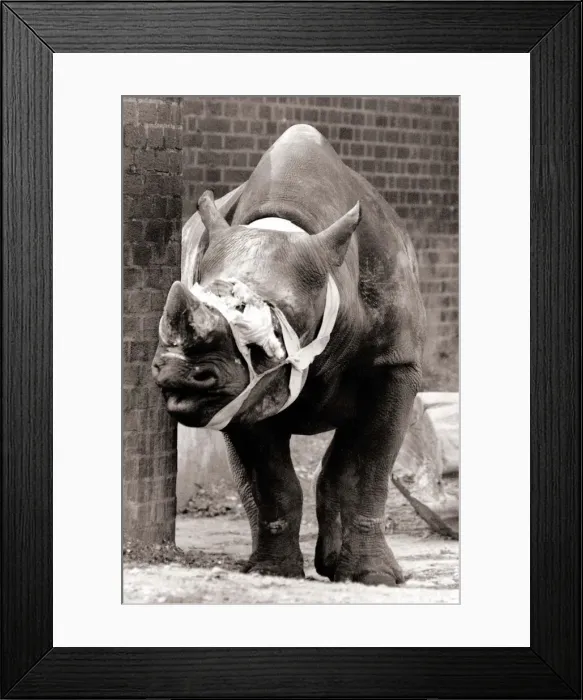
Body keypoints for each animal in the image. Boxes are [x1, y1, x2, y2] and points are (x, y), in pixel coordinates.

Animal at [152, 124, 426, 586]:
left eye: (272, 329)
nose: (178, 374)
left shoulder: (395, 362)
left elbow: (368, 467)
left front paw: (374, 577)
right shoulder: (245, 389)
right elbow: (273, 481)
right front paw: (272, 573)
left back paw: (336, 565)